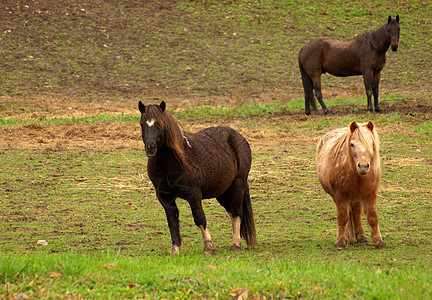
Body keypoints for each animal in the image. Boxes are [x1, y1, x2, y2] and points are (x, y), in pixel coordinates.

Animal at [138, 100, 256, 253]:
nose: (150, 148)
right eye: (142, 123)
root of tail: (238, 136)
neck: (170, 163)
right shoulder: (165, 197)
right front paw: (175, 249)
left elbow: (199, 218)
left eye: (160, 123)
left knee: (237, 212)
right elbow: (172, 221)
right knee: (231, 212)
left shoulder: (193, 194)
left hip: (237, 185)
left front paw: (208, 246)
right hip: (222, 191)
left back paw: (235, 243)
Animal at [314, 120, 384, 250]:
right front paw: (341, 241)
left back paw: (361, 236)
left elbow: (372, 217)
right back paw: (346, 237)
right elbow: (343, 218)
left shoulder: (371, 193)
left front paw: (379, 241)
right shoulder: (341, 195)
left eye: (371, 143)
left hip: (356, 198)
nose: (363, 166)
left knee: (356, 213)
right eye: (352, 144)